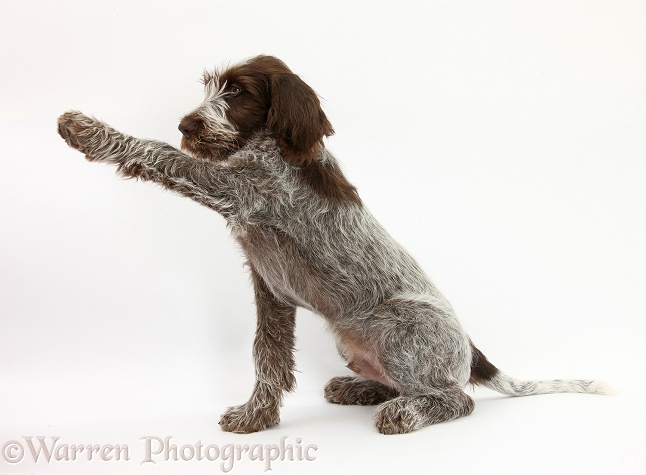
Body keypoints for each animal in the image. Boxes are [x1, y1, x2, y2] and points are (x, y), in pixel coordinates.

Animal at [57, 54, 612, 434]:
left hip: (399, 328)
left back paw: (404, 412)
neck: (271, 147)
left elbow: (161, 155)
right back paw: (360, 387)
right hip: (352, 340)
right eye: (213, 88)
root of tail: (472, 351)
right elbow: (268, 356)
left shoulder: (237, 189)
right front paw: (257, 417)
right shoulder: (270, 290)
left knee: (457, 398)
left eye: (237, 92)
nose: (186, 125)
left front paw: (88, 131)